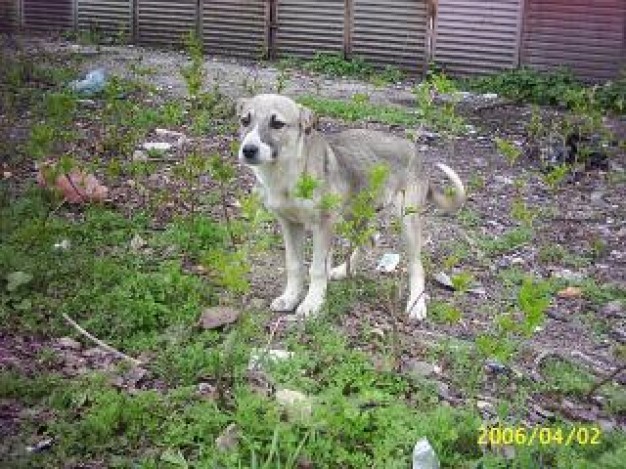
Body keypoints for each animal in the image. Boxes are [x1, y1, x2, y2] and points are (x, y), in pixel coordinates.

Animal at [235, 94, 464, 322]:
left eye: (277, 124)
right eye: (245, 120)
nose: (248, 150)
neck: (287, 172)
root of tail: (415, 151)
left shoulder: (324, 224)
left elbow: (316, 269)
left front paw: (312, 302)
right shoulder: (290, 224)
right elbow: (294, 265)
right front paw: (290, 298)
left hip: (406, 220)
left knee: (416, 266)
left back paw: (416, 306)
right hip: (353, 214)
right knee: (369, 240)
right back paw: (345, 271)